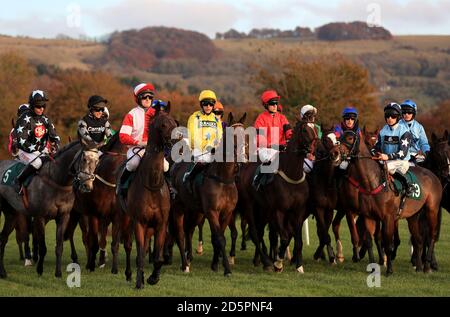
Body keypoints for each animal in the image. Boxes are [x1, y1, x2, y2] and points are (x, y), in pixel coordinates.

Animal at [0, 141, 89, 276]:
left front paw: (58, 273)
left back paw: (3, 272)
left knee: (3, 238)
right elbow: (42, 246)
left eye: (97, 160)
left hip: (11, 213)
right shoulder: (40, 217)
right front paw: (39, 269)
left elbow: (59, 245)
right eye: (84, 159)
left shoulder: (64, 216)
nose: (87, 185)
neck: (57, 181)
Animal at [127, 103, 178, 286]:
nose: (175, 141)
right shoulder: (139, 222)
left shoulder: (161, 224)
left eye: (174, 123)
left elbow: (158, 257)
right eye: (163, 124)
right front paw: (139, 281)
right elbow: (140, 254)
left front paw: (153, 277)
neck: (152, 185)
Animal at [340, 130, 442, 274]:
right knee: (418, 239)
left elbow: (388, 243)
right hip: (413, 216)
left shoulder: (388, 218)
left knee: (431, 235)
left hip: (432, 210)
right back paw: (419, 267)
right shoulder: (368, 216)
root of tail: (433, 175)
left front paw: (389, 270)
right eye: (340, 137)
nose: (335, 151)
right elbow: (369, 240)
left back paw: (427, 265)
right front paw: (373, 267)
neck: (372, 182)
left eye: (349, 138)